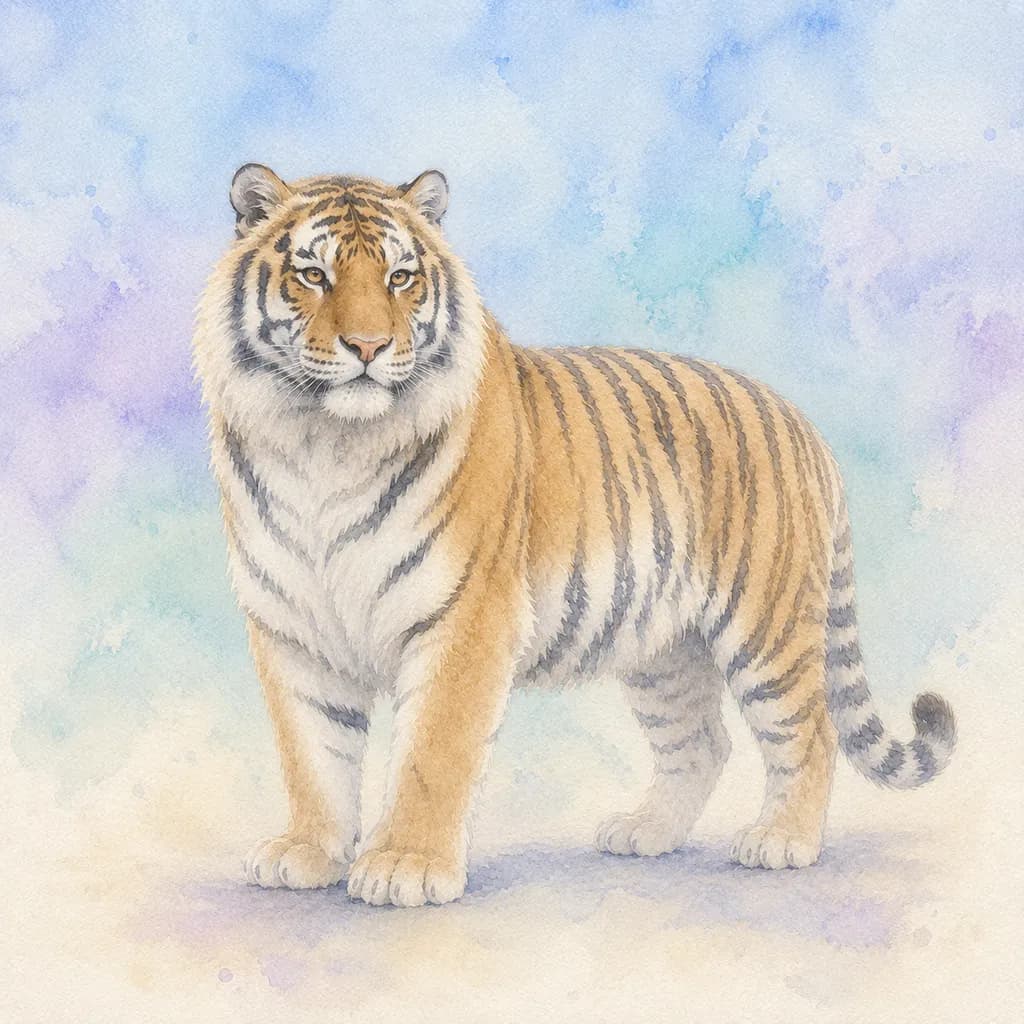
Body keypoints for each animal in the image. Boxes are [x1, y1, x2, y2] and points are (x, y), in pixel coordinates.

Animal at [193, 163, 956, 908]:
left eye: (400, 278)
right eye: (313, 274)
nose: (369, 346)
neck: (323, 445)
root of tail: (798, 419)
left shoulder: (466, 617)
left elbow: (431, 753)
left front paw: (405, 866)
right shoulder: (292, 625)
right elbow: (312, 754)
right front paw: (306, 853)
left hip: (768, 626)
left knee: (811, 732)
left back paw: (781, 841)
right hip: (663, 648)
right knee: (701, 742)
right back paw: (646, 832)